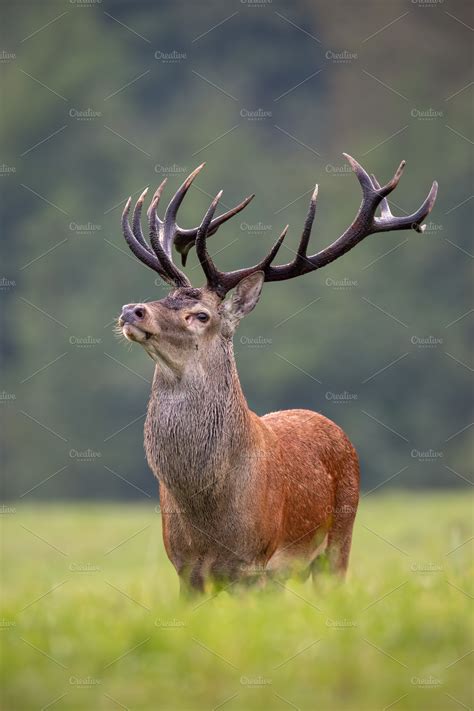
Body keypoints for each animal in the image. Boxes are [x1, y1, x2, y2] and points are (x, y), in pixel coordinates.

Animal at [118, 153, 437, 595]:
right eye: (164, 297)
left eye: (201, 315)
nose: (132, 310)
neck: (207, 513)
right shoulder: (184, 569)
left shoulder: (253, 565)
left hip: (338, 542)